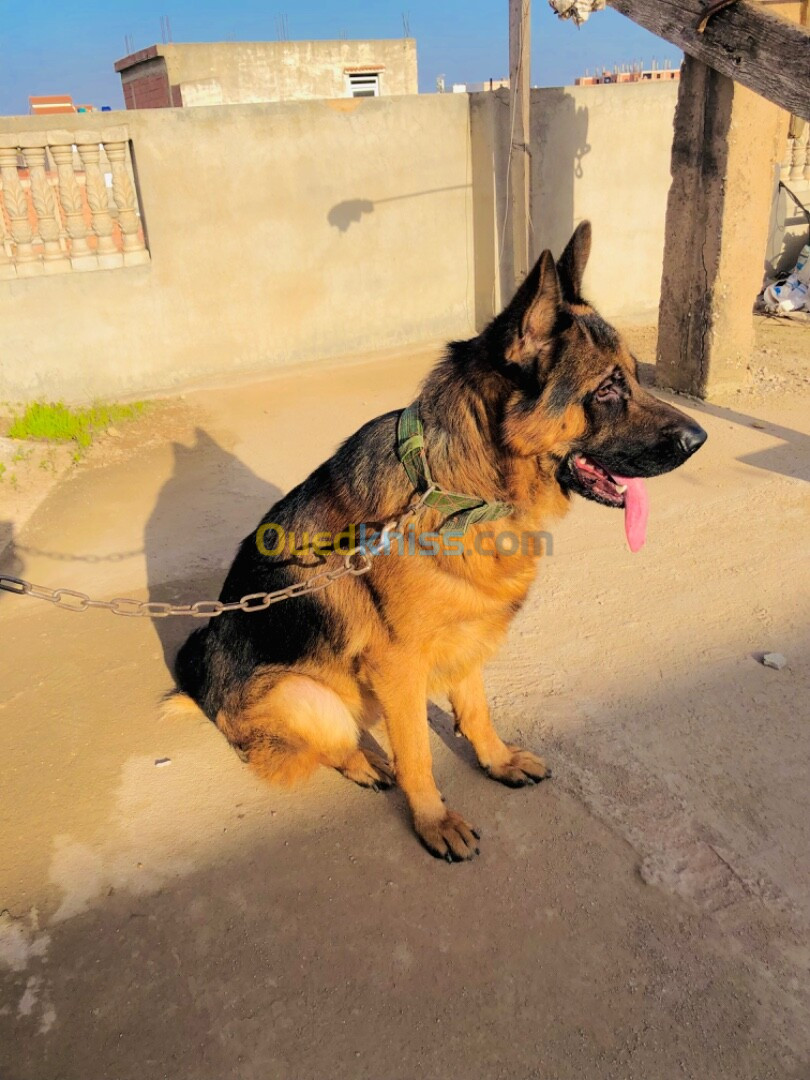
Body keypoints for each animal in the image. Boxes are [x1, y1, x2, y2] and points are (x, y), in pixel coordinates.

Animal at [174, 223, 708, 864]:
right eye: (606, 389)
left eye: (634, 376)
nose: (701, 438)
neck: (460, 487)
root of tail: (200, 682)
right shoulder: (400, 666)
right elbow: (417, 754)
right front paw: (432, 819)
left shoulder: (468, 636)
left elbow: (475, 708)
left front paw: (496, 762)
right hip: (308, 697)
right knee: (334, 743)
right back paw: (365, 762)